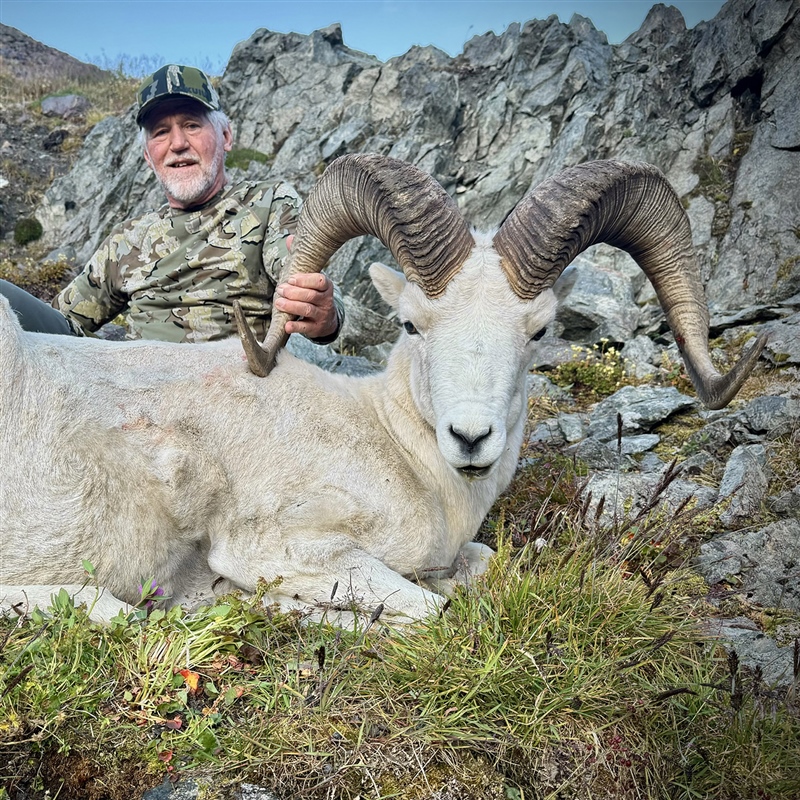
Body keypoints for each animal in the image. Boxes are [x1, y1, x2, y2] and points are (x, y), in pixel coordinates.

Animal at [0, 156, 766, 624]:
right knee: (105, 610)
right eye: (411, 323)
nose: (470, 439)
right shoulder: (278, 550)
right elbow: (429, 610)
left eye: (540, 329)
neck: (395, 450)